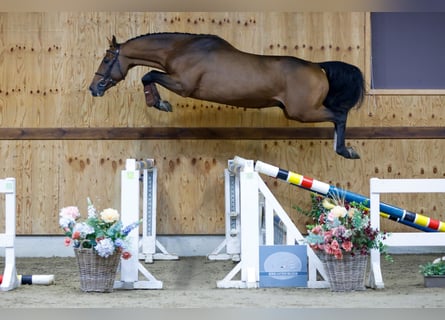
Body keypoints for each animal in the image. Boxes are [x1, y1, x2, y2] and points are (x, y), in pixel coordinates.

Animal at [88, 31, 362, 159]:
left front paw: (160, 103)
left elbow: (149, 75)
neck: (180, 49)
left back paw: (345, 151)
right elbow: (150, 75)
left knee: (339, 115)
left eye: (107, 59)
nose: (94, 88)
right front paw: (158, 102)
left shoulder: (183, 85)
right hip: (298, 111)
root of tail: (318, 66)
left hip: (302, 112)